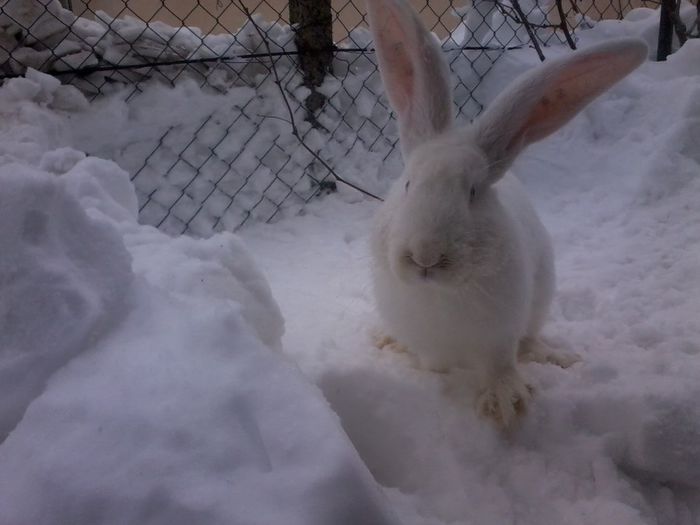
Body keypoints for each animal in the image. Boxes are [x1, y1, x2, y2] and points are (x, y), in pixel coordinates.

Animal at [366, 0, 644, 426]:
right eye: (408, 184)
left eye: (473, 192)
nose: (425, 255)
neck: (440, 292)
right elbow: (432, 365)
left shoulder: (499, 335)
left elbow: (499, 365)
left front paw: (506, 404)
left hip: (539, 298)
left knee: (529, 340)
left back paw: (554, 356)